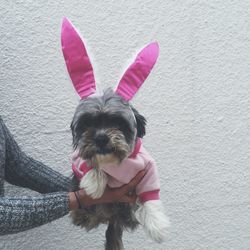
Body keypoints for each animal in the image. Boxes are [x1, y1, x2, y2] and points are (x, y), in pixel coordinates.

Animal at [60, 17, 170, 250]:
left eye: (117, 123)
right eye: (87, 124)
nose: (101, 137)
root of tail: (110, 217)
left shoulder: (147, 168)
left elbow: (151, 196)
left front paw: (157, 226)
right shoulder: (77, 159)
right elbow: (86, 163)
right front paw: (95, 181)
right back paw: (82, 214)